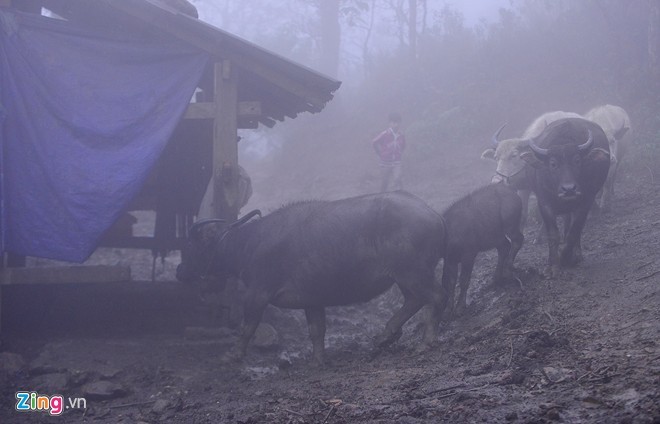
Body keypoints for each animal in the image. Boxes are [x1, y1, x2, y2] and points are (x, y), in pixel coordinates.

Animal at [175, 191, 446, 364]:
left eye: (190, 246)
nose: (179, 271)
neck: (248, 244)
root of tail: (435, 215)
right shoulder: (312, 300)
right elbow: (317, 330)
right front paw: (317, 361)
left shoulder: (257, 293)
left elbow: (247, 327)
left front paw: (232, 355)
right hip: (405, 276)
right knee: (414, 300)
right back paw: (384, 336)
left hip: (412, 272)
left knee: (435, 297)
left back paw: (426, 341)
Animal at [440, 184, 524, 316]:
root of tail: (511, 191)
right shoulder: (450, 260)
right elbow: (451, 283)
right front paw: (448, 310)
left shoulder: (469, 255)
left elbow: (464, 280)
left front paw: (459, 307)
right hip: (495, 236)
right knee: (505, 246)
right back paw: (496, 278)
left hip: (510, 226)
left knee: (517, 240)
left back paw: (507, 269)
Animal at [524, 117, 612, 274]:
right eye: (553, 164)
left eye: (577, 161)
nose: (569, 189)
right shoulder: (544, 203)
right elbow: (553, 234)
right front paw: (553, 265)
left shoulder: (585, 201)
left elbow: (574, 231)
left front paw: (566, 258)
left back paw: (577, 254)